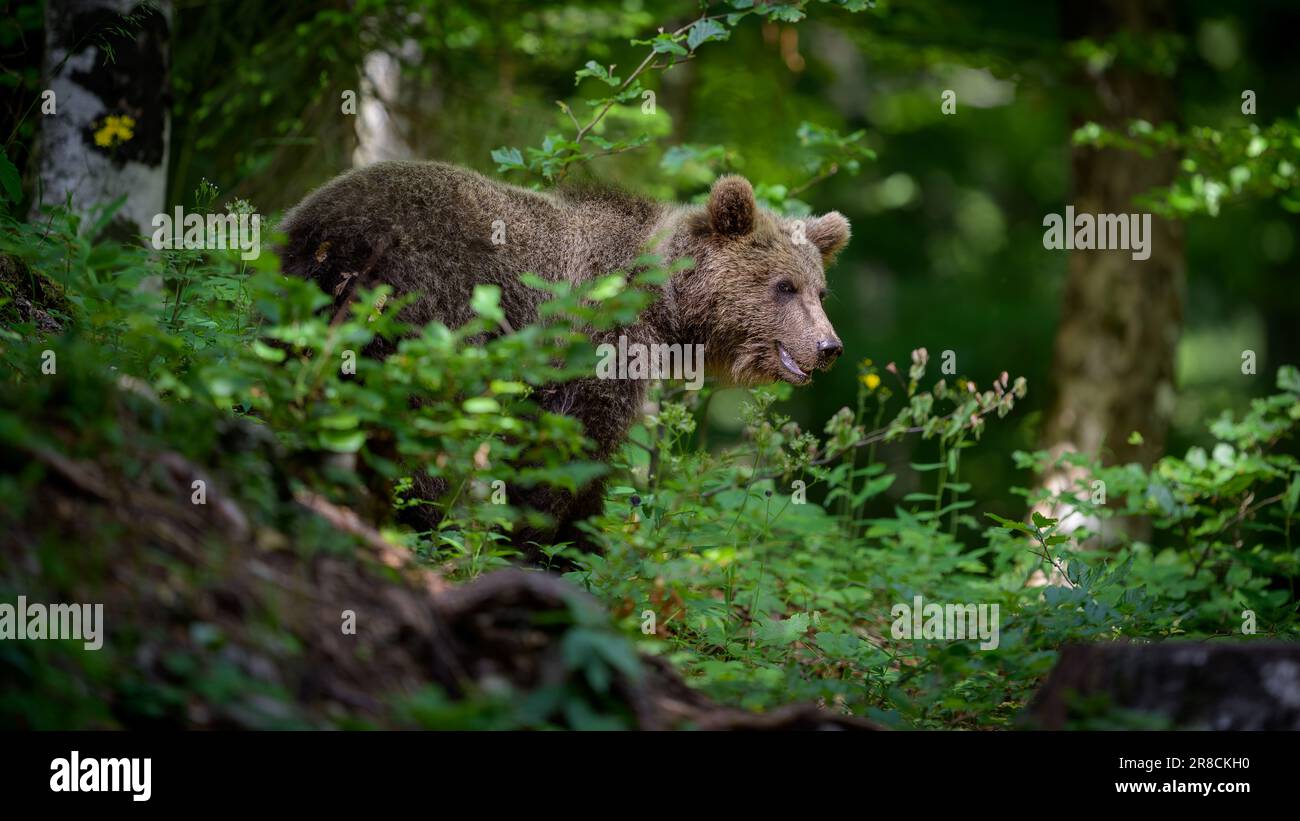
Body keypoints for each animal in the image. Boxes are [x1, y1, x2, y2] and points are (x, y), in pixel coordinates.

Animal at [279, 161, 849, 556]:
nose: (830, 347)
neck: (663, 301)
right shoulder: (595, 346)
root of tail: (316, 227)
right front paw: (541, 545)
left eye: (820, 291)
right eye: (784, 286)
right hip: (420, 308)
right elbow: (568, 450)